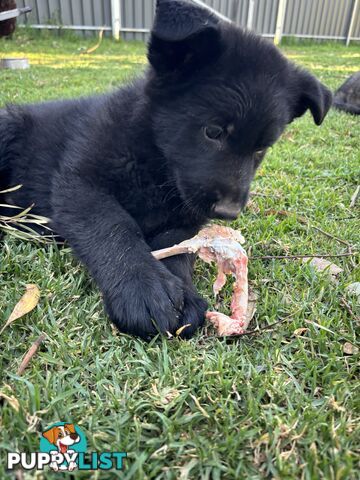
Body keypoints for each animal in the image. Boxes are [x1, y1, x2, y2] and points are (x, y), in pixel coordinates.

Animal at [0, 0, 332, 338]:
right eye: (213, 131)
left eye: (261, 149)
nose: (228, 212)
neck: (155, 163)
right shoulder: (79, 184)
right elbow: (113, 225)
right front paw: (142, 286)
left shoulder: (183, 219)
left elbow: (177, 247)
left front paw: (182, 294)